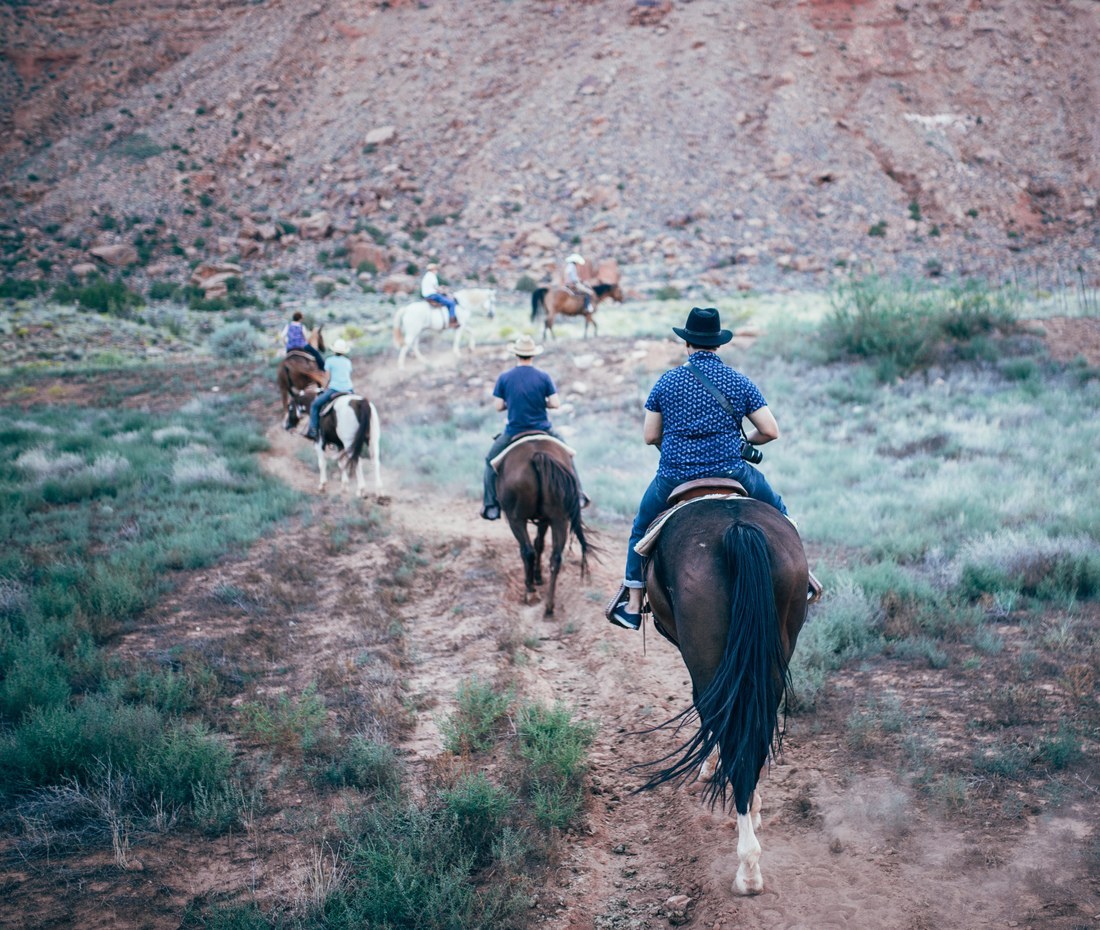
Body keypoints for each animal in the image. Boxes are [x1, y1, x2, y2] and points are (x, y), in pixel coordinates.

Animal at [492, 435, 594, 616]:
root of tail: (537, 455)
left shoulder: (525, 519)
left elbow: (533, 547)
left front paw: (533, 581)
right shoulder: (545, 519)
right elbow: (540, 543)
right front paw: (538, 577)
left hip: (516, 519)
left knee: (527, 551)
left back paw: (531, 593)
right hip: (560, 519)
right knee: (556, 557)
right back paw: (549, 606)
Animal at [638, 479, 809, 893]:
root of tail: (738, 528)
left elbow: (707, 712)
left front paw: (707, 769)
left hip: (706, 653)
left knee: (727, 726)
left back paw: (747, 868)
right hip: (774, 652)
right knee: (755, 730)